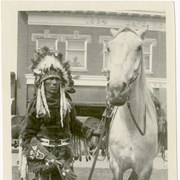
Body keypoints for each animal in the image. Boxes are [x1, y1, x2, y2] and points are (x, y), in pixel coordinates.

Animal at [106, 27, 160, 180]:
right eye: (108, 48)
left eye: (139, 47)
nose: (116, 89)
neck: (130, 126)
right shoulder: (116, 167)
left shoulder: (145, 169)